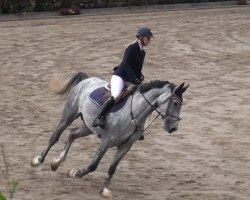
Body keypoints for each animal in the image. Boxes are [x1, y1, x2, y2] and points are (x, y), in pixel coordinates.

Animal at [30, 72, 188, 197]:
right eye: (175, 103)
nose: (173, 128)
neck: (134, 114)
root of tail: (86, 80)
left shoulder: (125, 147)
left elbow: (112, 168)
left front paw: (105, 190)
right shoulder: (106, 142)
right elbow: (93, 165)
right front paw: (75, 173)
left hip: (87, 126)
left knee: (72, 135)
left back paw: (56, 162)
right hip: (69, 116)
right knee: (55, 137)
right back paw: (38, 160)